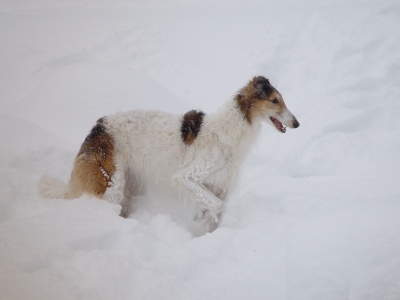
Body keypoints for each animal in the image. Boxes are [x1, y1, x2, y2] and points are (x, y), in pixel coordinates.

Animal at [39, 76, 298, 233]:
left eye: (282, 100)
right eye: (274, 100)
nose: (297, 123)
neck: (227, 132)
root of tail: (97, 128)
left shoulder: (221, 186)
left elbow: (217, 210)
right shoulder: (186, 177)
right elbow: (213, 206)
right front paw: (199, 218)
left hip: (129, 186)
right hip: (111, 184)